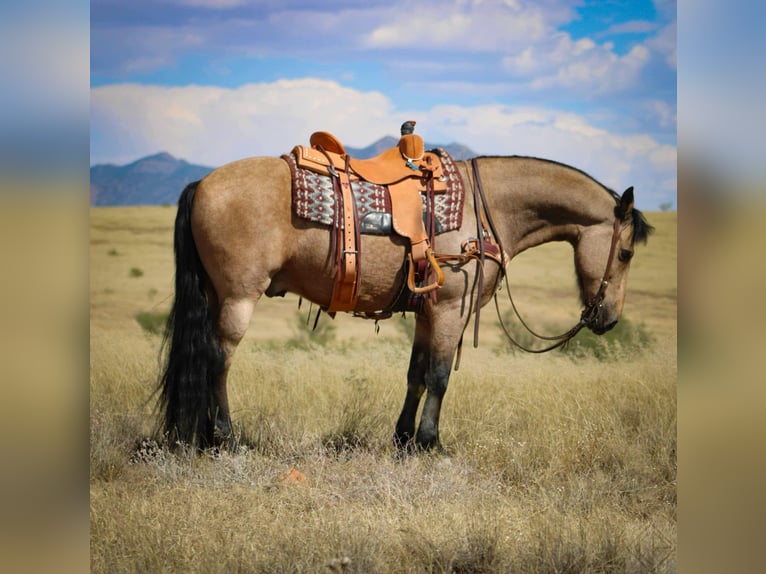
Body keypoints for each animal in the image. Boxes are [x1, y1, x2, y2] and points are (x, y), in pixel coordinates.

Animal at [156, 135, 656, 454]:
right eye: (626, 252)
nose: (608, 319)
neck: (486, 209)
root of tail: (201, 184)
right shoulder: (451, 308)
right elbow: (439, 376)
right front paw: (432, 444)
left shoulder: (426, 311)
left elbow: (416, 374)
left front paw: (402, 440)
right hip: (239, 297)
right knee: (219, 360)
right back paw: (225, 439)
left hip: (217, 295)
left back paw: (202, 437)